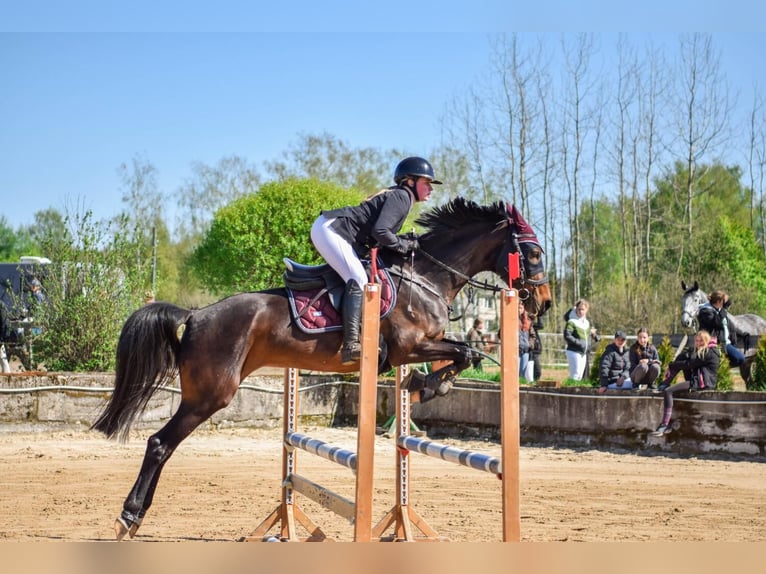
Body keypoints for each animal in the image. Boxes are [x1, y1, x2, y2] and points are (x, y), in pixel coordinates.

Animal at [93, 197, 552, 540]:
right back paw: (129, 518)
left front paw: (423, 384)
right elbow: (465, 353)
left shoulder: (415, 348)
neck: (427, 278)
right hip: (209, 396)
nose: (544, 303)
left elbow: (462, 354)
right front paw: (429, 385)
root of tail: (196, 314)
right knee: (159, 444)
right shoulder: (407, 347)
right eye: (532, 252)